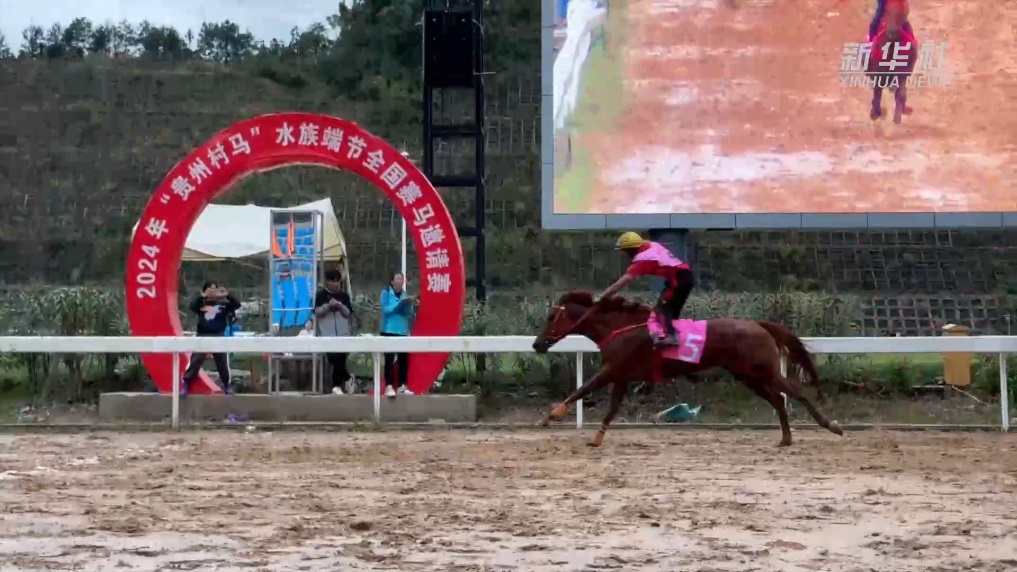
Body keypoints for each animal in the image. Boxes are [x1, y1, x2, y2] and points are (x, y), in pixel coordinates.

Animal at [531, 291, 844, 448]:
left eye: (551, 317)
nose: (537, 344)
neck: (620, 327)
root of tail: (758, 324)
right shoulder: (622, 375)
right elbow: (610, 408)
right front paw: (596, 439)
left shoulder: (614, 370)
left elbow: (582, 389)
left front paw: (550, 416)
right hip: (747, 375)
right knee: (778, 399)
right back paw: (785, 438)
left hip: (764, 370)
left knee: (796, 394)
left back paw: (832, 425)